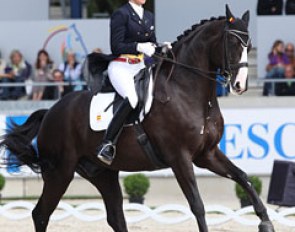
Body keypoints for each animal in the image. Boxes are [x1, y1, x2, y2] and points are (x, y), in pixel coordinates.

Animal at [1, 5, 276, 232]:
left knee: (115, 217)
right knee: (40, 214)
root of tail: (51, 112)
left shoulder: (206, 154)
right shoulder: (180, 157)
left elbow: (243, 177)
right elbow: (197, 205)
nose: (240, 85)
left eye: (249, 45)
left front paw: (266, 222)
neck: (188, 91)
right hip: (59, 171)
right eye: (231, 42)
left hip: (102, 173)